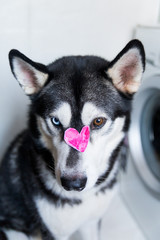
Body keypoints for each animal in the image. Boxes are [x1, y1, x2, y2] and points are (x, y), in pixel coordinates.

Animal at [0, 40, 145, 239]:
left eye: (98, 121)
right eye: (55, 121)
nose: (72, 183)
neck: (83, 199)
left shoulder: (91, 223)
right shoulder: (54, 232)